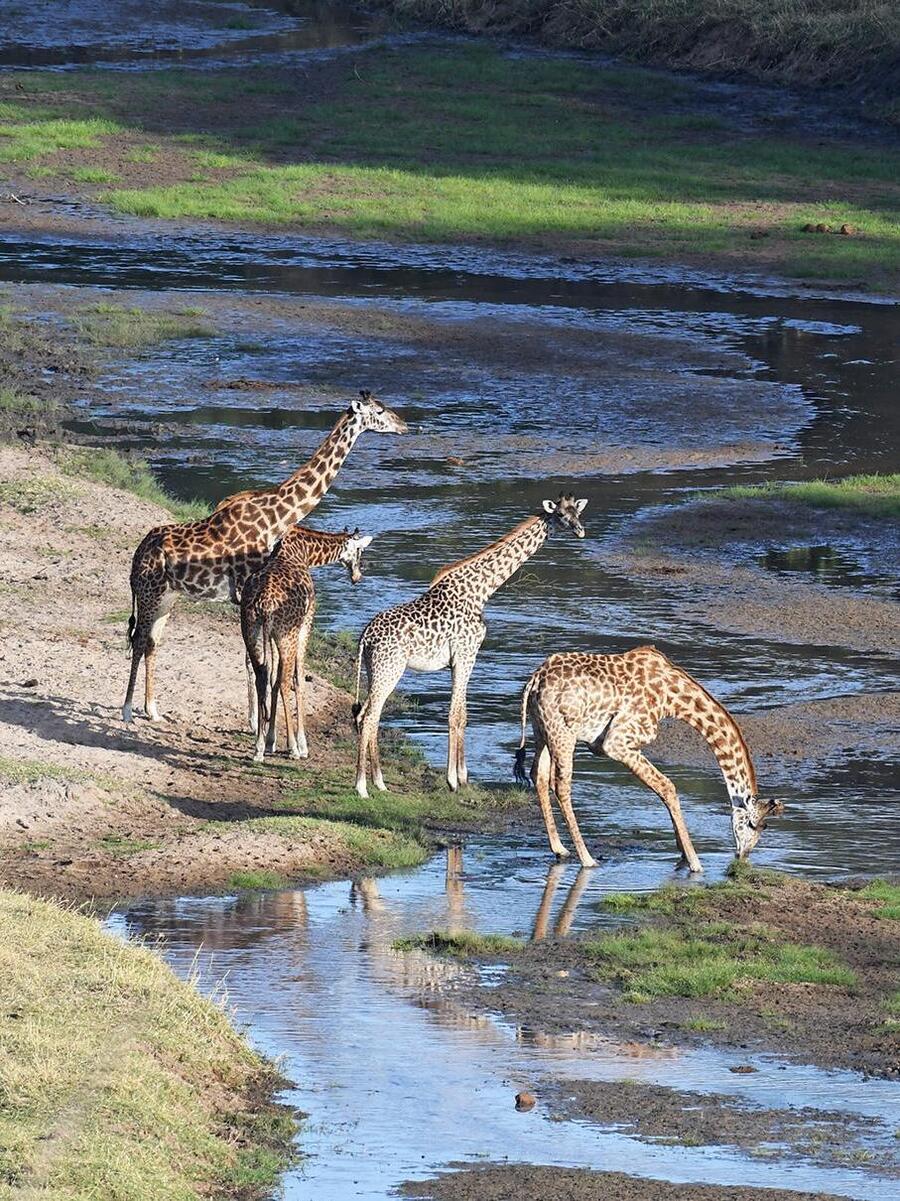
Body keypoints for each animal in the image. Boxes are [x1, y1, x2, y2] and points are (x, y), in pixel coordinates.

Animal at [122, 390, 405, 723]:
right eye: (380, 411)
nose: (404, 426)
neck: (275, 518)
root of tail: (137, 555)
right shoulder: (247, 591)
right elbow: (255, 661)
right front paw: (257, 721)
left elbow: (253, 659)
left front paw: (255, 719)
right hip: (149, 592)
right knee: (139, 638)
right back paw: (127, 711)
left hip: (168, 596)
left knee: (152, 642)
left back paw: (152, 710)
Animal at [241, 525, 372, 762]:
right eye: (360, 551)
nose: (357, 577)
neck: (303, 552)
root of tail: (264, 603)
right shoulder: (305, 626)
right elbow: (298, 680)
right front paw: (301, 745)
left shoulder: (273, 636)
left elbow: (273, 680)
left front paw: (271, 741)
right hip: (288, 635)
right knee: (286, 683)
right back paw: (294, 748)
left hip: (252, 633)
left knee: (262, 679)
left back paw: (258, 747)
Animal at [352, 494, 588, 799]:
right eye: (560, 514)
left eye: (577, 512)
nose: (580, 531)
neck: (481, 590)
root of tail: (365, 637)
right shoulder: (466, 655)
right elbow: (455, 715)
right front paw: (453, 779)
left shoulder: (461, 660)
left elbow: (463, 714)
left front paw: (463, 777)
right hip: (389, 669)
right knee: (369, 717)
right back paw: (361, 786)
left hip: (376, 670)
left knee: (368, 716)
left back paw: (379, 782)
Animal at [515, 645, 783, 871]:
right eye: (754, 825)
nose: (742, 856)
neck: (673, 699)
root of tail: (534, 681)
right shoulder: (617, 743)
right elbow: (667, 787)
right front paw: (695, 863)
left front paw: (683, 854)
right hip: (564, 733)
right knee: (561, 786)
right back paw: (587, 859)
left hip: (542, 730)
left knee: (538, 775)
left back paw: (560, 849)